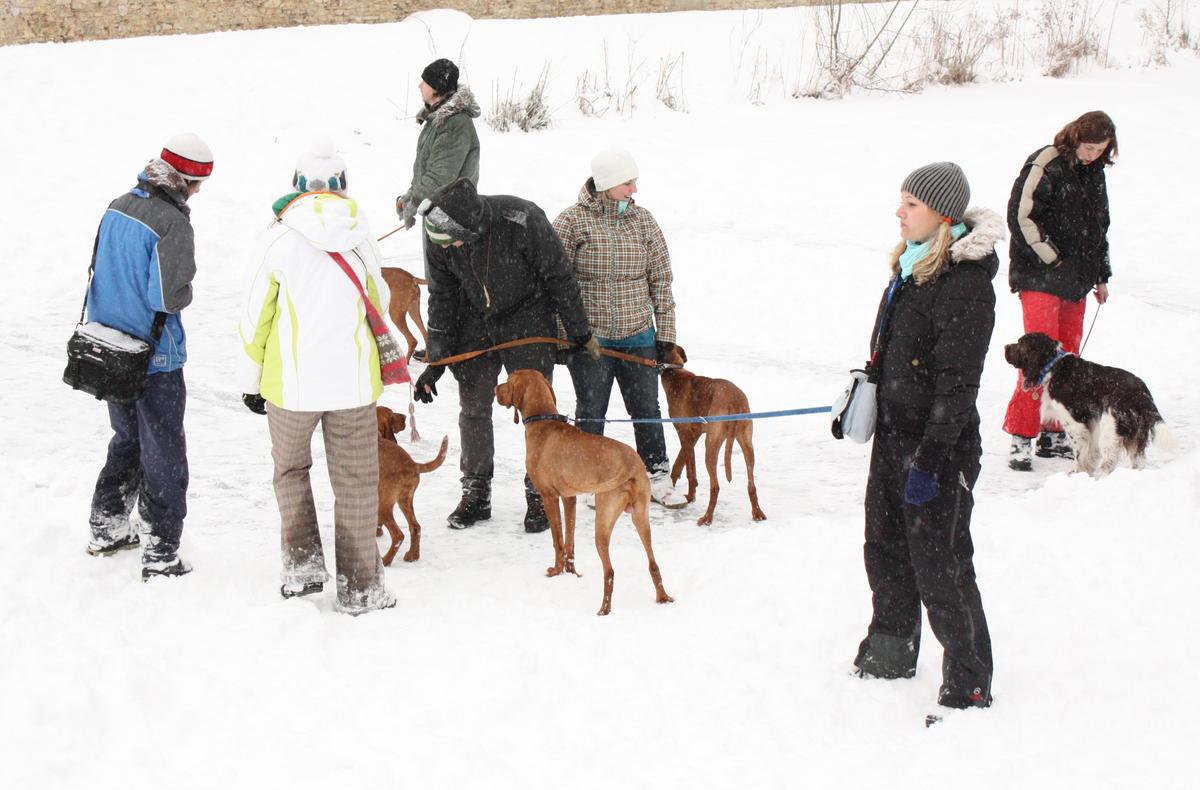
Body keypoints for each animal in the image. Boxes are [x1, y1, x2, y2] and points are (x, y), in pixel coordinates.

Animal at [376, 403, 448, 561]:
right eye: (391, 414)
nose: (404, 416)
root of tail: (413, 464)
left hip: (384, 506)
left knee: (398, 535)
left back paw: (386, 560)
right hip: (404, 500)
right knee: (415, 527)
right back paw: (412, 555)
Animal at [489, 369, 672, 614]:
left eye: (507, 381)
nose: (495, 389)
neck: (543, 421)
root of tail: (632, 466)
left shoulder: (549, 497)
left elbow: (557, 540)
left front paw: (556, 571)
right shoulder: (569, 498)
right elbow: (570, 540)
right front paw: (571, 572)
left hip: (603, 521)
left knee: (610, 571)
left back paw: (604, 609)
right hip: (641, 518)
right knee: (653, 563)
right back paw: (663, 597)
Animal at [657, 343, 768, 523]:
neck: (675, 372)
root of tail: (733, 401)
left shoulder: (685, 435)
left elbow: (689, 471)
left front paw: (689, 496)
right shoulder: (694, 435)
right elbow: (680, 464)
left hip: (711, 445)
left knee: (715, 486)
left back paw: (707, 518)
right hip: (746, 443)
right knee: (751, 484)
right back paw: (757, 513)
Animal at [1003, 331, 1171, 477]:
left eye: (1019, 343)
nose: (1005, 346)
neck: (1053, 368)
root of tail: (1142, 393)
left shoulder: (1075, 422)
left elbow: (1080, 452)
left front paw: (1077, 473)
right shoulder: (1091, 422)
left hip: (1111, 428)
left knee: (1109, 461)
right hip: (1136, 432)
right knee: (1138, 460)